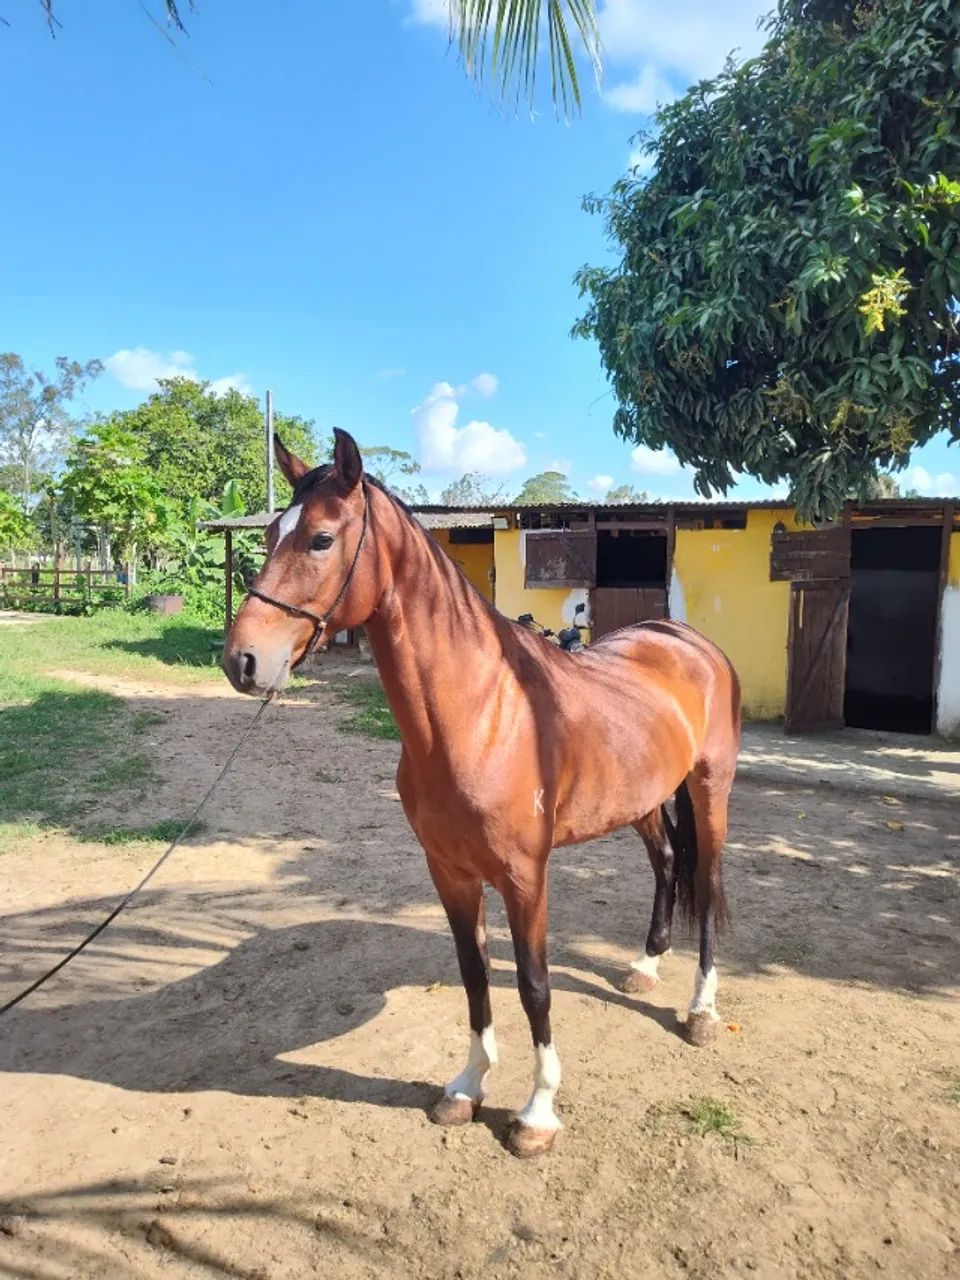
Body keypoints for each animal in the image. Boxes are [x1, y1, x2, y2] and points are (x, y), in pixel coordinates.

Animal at [223, 429, 741, 1159]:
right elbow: (473, 974)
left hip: (709, 787)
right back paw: (643, 967)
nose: (241, 661)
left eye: (321, 539)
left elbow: (534, 985)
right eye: (270, 533)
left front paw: (538, 1112)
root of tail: (688, 641)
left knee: (709, 881)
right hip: (641, 798)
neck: (481, 714)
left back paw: (701, 1010)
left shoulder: (525, 877)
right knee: (668, 861)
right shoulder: (451, 872)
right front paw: (467, 1087)